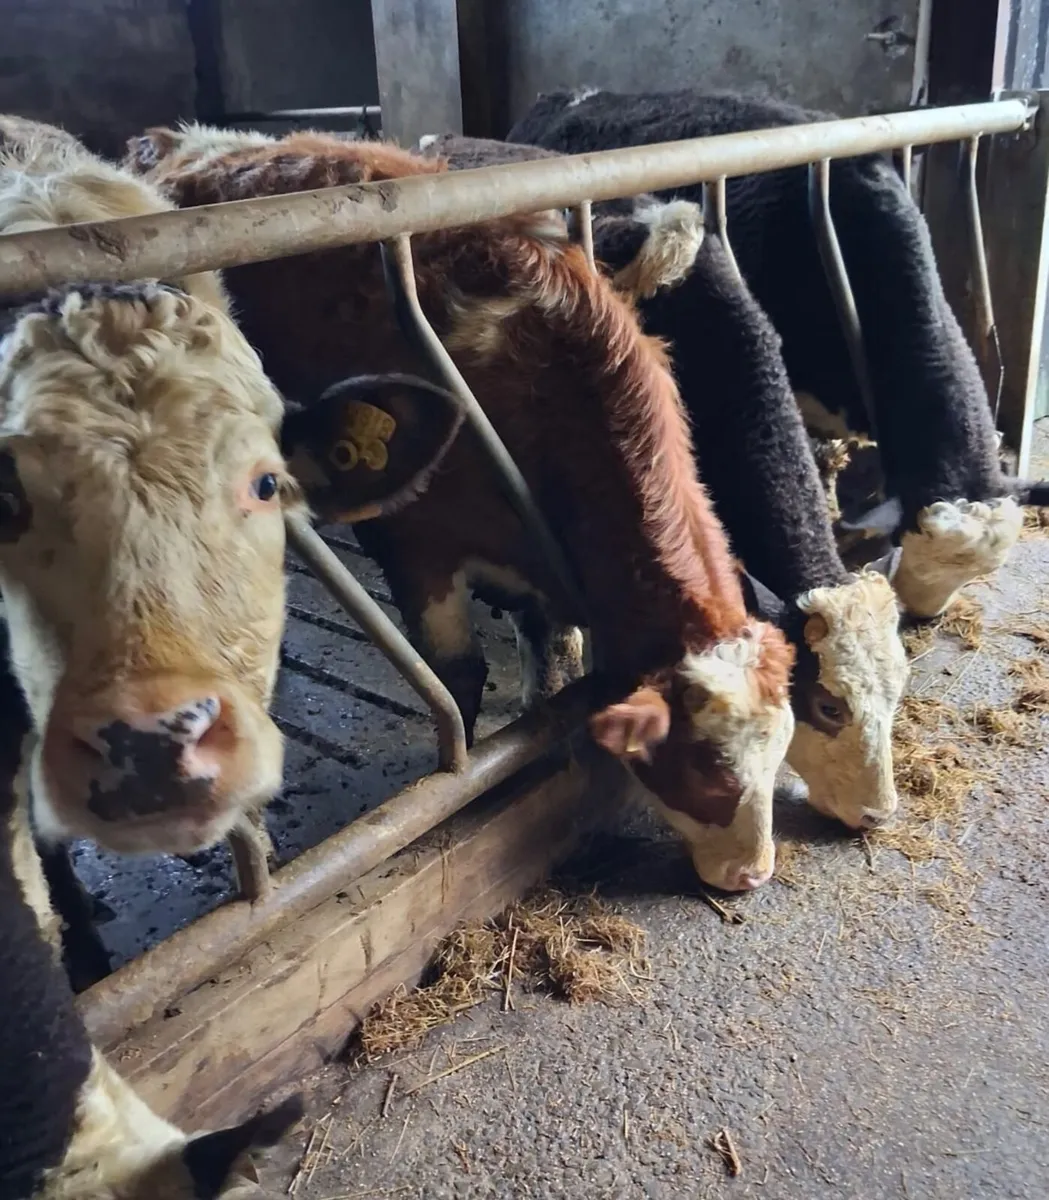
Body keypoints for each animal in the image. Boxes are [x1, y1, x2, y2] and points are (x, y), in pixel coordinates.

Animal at [125, 123, 798, 892]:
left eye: (780, 746)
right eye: (708, 777)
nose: (752, 874)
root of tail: (181, 141)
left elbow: (548, 644)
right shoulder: (418, 544)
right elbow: (458, 679)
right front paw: (463, 783)